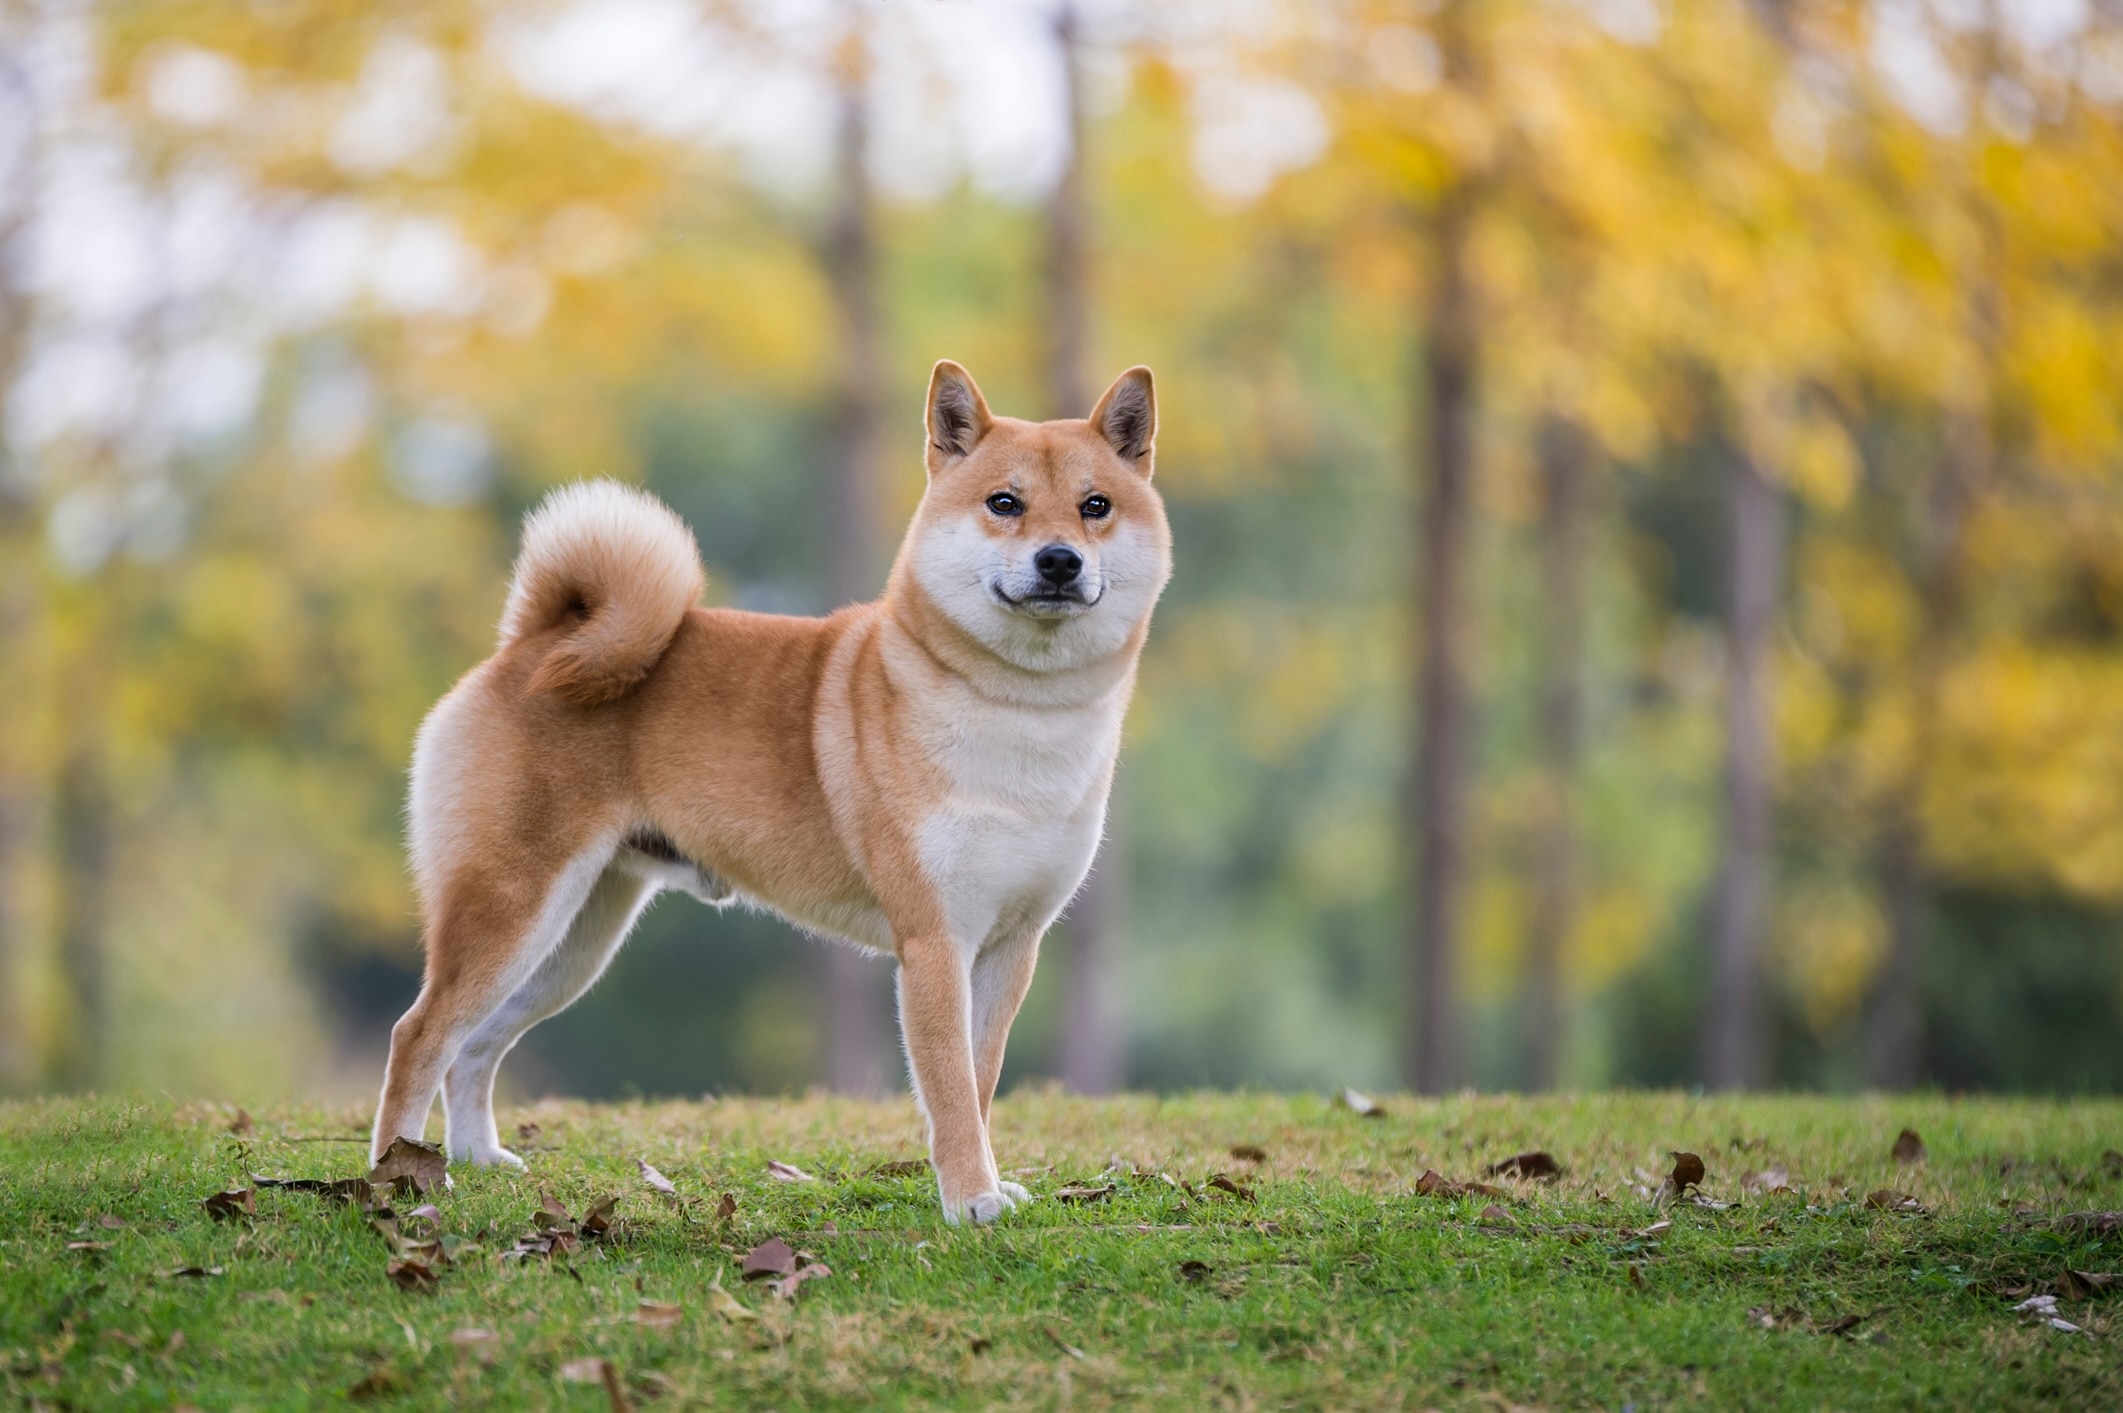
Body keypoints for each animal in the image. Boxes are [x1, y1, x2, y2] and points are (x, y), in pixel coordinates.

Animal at [365, 360, 1163, 1222]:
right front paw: (970, 1200)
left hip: (571, 941)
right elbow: (951, 1089)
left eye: (1095, 506)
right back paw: (396, 1178)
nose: (1058, 560)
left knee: (475, 1043)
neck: (1019, 713)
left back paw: (475, 1156)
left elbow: (979, 1085)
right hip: (510, 907)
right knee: (420, 1033)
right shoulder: (933, 941)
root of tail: (534, 643)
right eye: (1003, 502)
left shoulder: (1011, 945)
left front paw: (985, 1181)